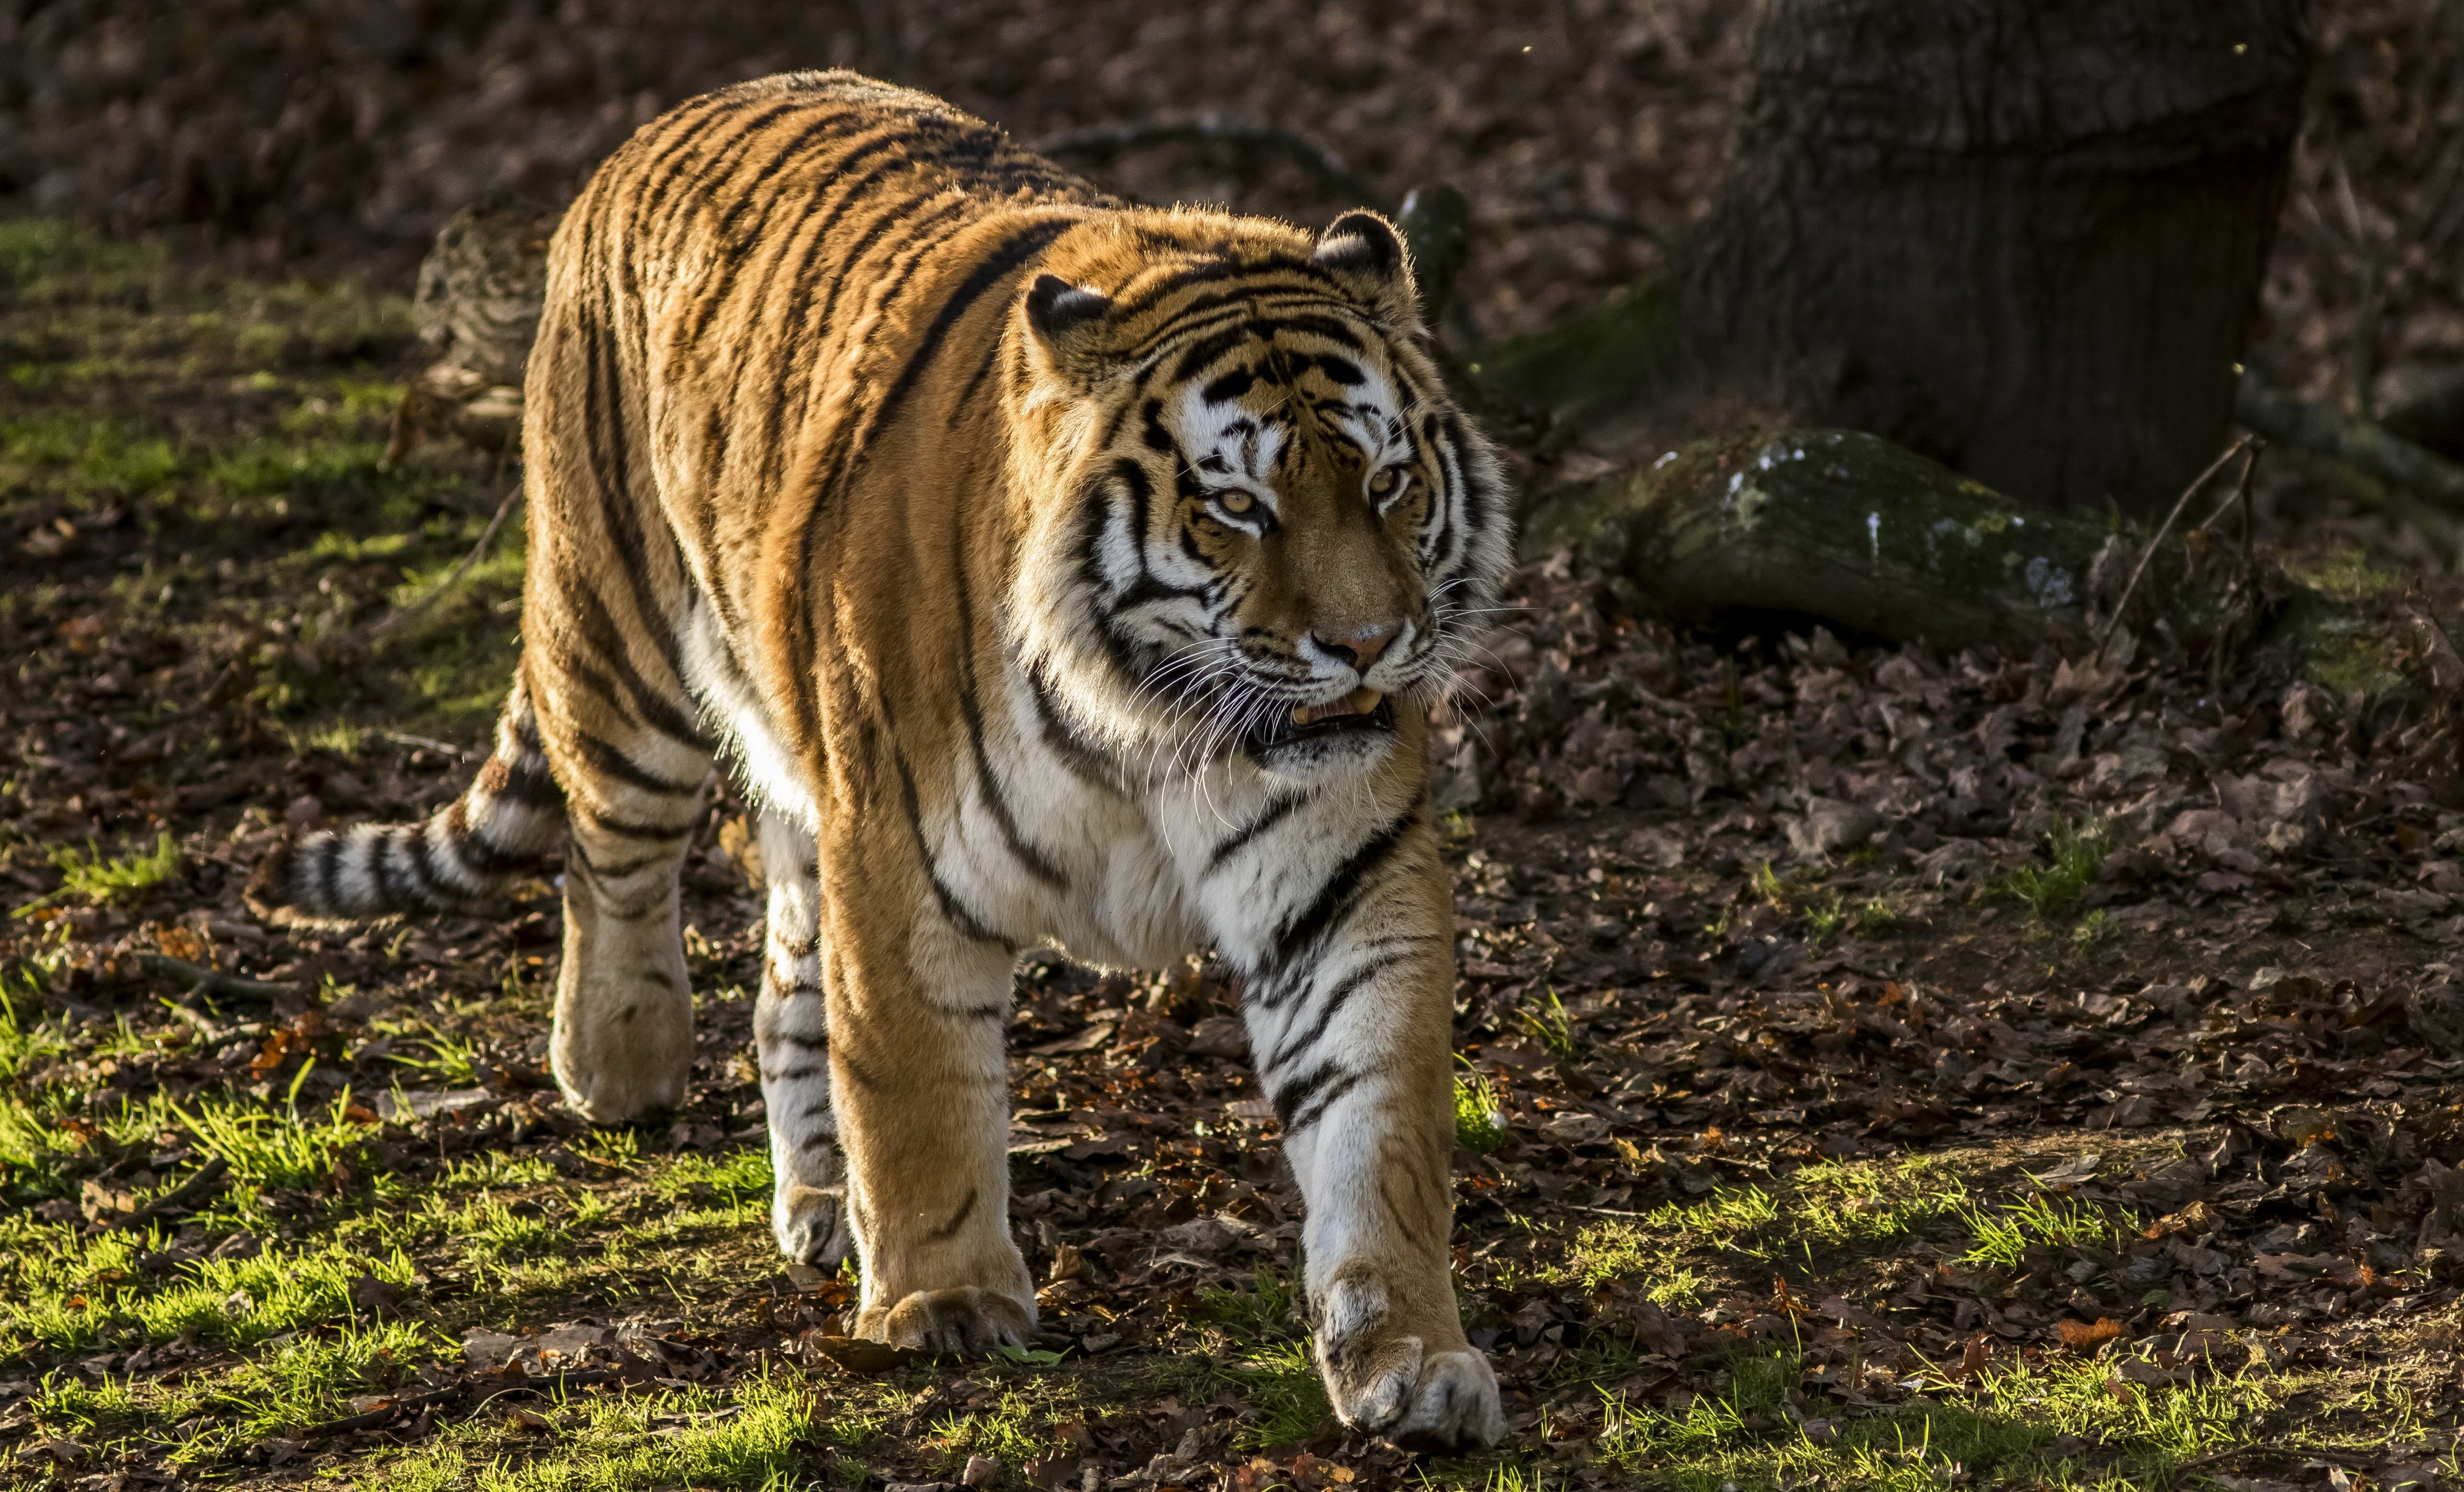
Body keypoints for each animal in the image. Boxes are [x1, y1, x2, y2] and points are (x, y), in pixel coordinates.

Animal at [249, 70, 1512, 1446]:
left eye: (1385, 483)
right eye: (1240, 505)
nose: (1368, 646)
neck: (1152, 722)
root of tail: (662, 124)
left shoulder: (1342, 886)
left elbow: (1378, 1128)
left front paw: (1409, 1354)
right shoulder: (905, 857)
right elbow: (916, 1089)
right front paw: (945, 1303)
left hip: (806, 775)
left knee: (784, 978)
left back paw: (817, 1202)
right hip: (621, 644)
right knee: (611, 852)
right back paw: (619, 1061)